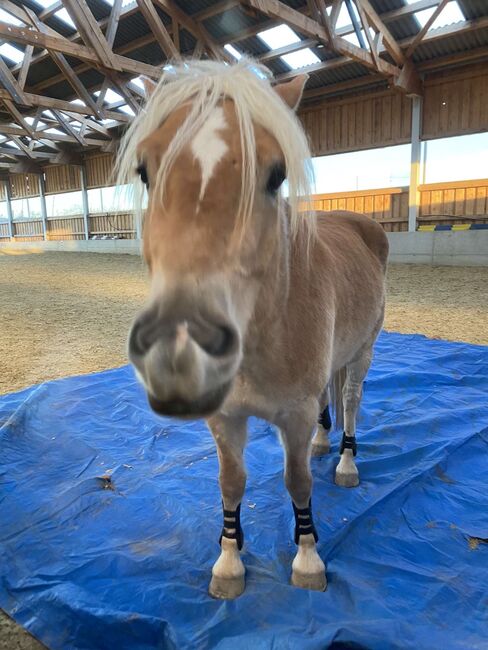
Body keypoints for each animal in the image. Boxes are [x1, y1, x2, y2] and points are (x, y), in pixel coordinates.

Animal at [116, 59, 386, 596]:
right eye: (145, 170)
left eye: (277, 174)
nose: (179, 350)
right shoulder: (224, 417)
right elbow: (231, 483)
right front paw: (229, 560)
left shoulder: (295, 415)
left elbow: (297, 481)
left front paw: (307, 557)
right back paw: (325, 442)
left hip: (363, 352)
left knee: (350, 400)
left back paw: (346, 460)